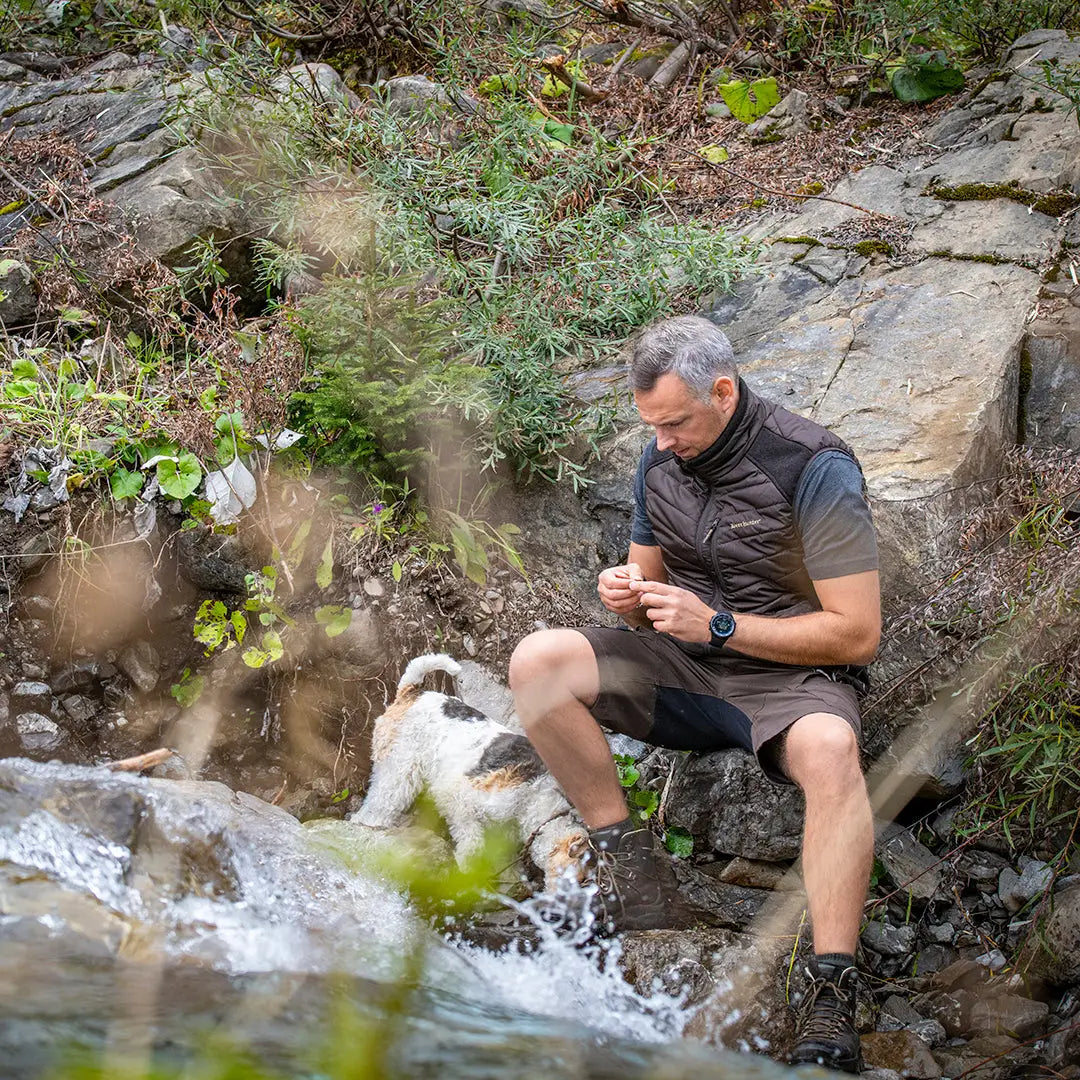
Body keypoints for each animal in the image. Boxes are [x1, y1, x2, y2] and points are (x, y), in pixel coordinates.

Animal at [347, 652, 587, 889]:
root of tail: (412, 692)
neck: (536, 800)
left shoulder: (503, 829)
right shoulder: (457, 798)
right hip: (399, 769)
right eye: (577, 879)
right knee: (381, 800)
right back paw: (368, 823)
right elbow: (472, 842)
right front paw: (467, 868)